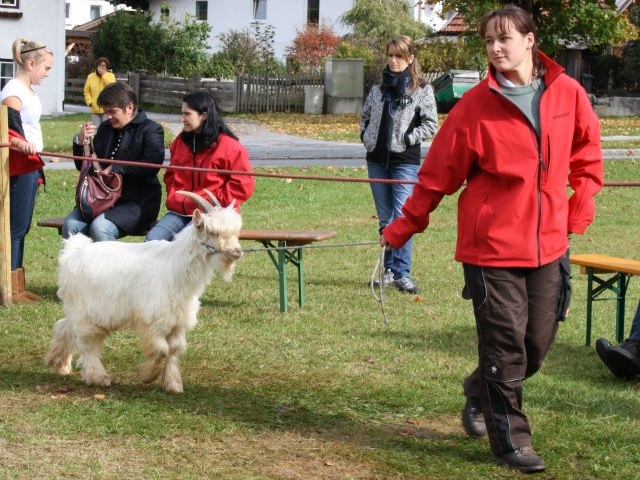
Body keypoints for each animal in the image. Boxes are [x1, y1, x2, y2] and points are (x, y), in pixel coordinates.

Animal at [43, 191, 242, 394]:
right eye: (213, 232)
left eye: (235, 232)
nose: (237, 251)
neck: (177, 266)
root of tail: (70, 255)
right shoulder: (153, 321)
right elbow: (161, 350)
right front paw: (147, 375)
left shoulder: (178, 322)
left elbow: (174, 350)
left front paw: (173, 384)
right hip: (87, 312)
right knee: (87, 343)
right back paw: (98, 377)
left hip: (82, 312)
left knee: (64, 327)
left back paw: (59, 364)